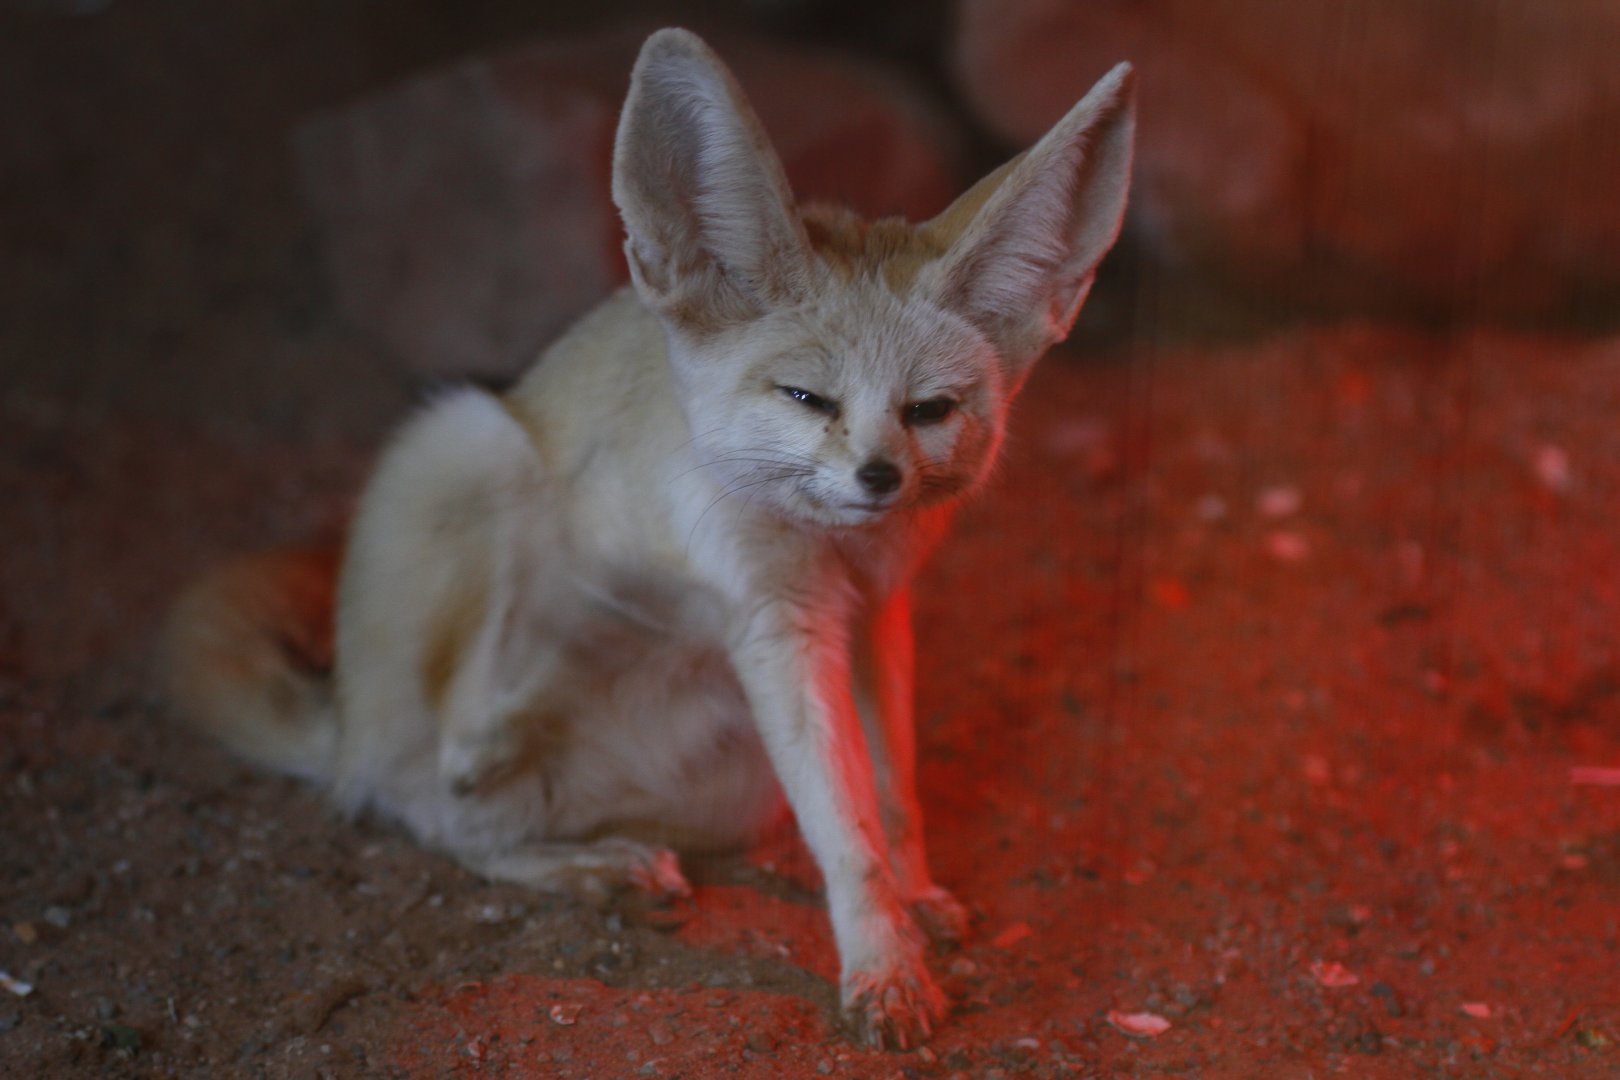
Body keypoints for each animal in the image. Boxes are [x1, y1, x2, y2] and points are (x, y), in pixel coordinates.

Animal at [164, 28, 1134, 1049]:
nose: (879, 478)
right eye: (807, 399)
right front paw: (883, 965)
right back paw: (506, 750)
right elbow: (845, 830)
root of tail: (345, 720)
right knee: (431, 798)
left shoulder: (876, 613)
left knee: (474, 825)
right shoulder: (775, 623)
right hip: (470, 440)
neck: (831, 552)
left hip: (733, 784)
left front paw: (913, 902)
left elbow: (889, 792)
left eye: (930, 411)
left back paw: (592, 852)